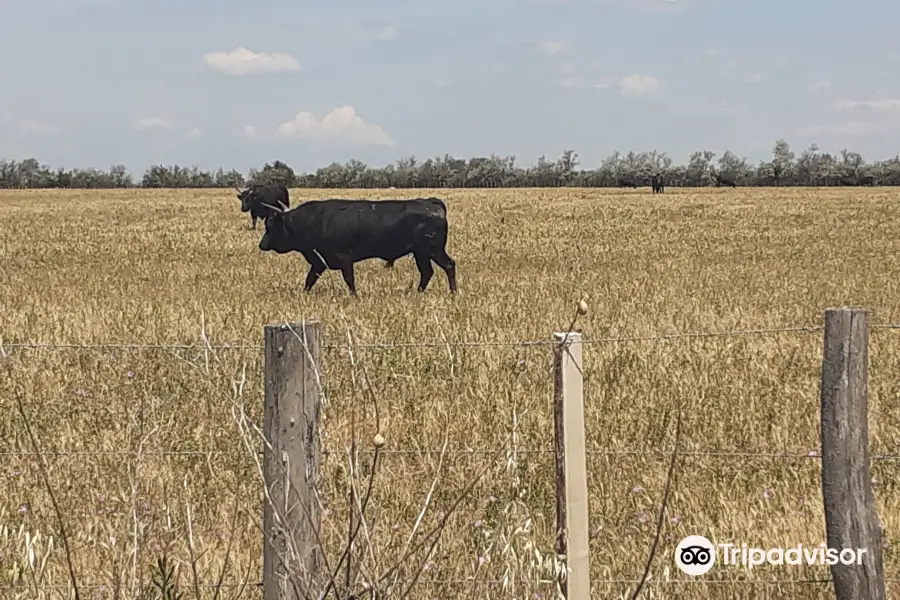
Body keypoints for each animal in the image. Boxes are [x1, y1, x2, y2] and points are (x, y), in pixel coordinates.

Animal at [258, 197, 458, 296]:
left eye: (270, 225)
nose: (261, 244)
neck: (316, 221)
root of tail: (430, 202)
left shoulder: (343, 258)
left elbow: (349, 280)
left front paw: (354, 296)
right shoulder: (320, 261)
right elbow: (310, 279)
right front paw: (304, 294)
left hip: (432, 250)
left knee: (448, 265)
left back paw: (453, 293)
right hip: (421, 253)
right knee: (427, 272)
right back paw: (417, 293)